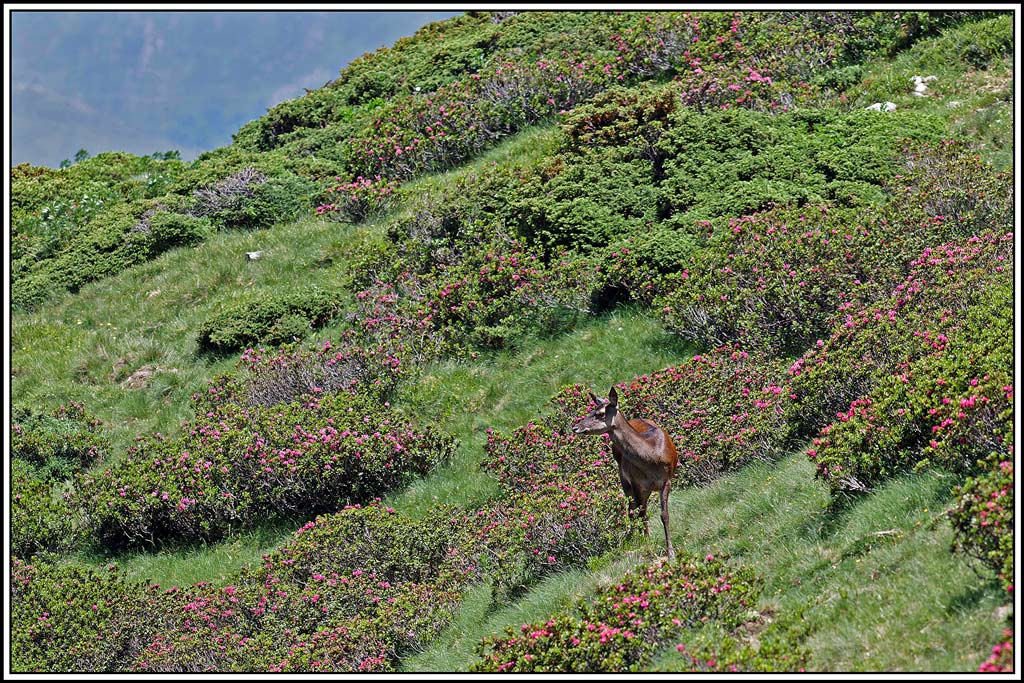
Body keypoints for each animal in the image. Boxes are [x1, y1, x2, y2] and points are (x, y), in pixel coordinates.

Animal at [572, 386, 678, 560]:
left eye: (600, 413)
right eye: (591, 410)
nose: (575, 427)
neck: (653, 458)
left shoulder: (666, 480)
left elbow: (664, 515)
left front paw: (671, 553)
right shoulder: (635, 482)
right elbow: (641, 514)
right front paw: (647, 545)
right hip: (625, 480)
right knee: (632, 510)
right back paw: (631, 538)